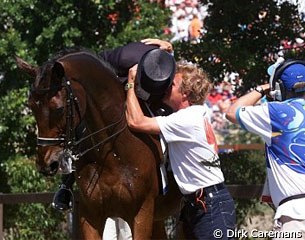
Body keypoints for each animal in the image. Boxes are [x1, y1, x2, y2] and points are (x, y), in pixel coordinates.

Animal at [15, 49, 182, 239]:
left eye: (58, 109)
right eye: (31, 106)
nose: (45, 164)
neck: (111, 153)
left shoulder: (142, 215)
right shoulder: (91, 216)